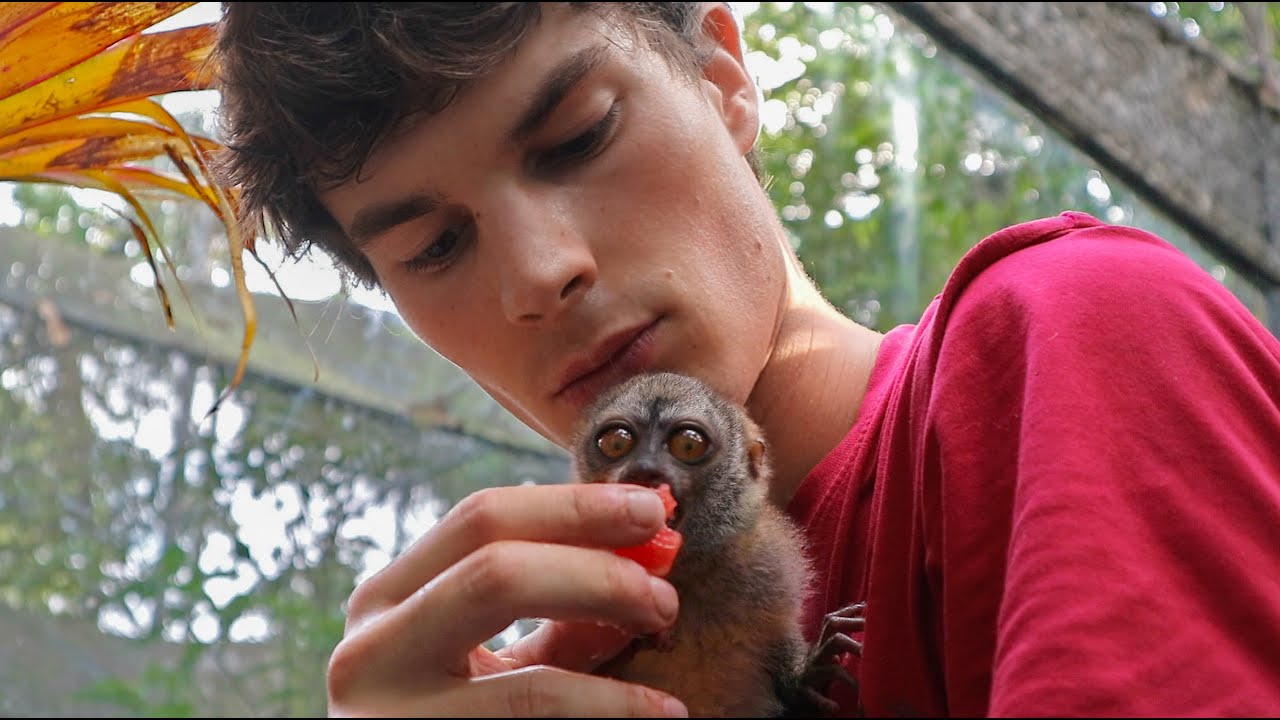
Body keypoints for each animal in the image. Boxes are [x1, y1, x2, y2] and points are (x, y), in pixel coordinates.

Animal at [570, 371, 864, 718]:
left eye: (688, 444)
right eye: (617, 442)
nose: (643, 468)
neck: (686, 573)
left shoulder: (771, 572)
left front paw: (809, 673)